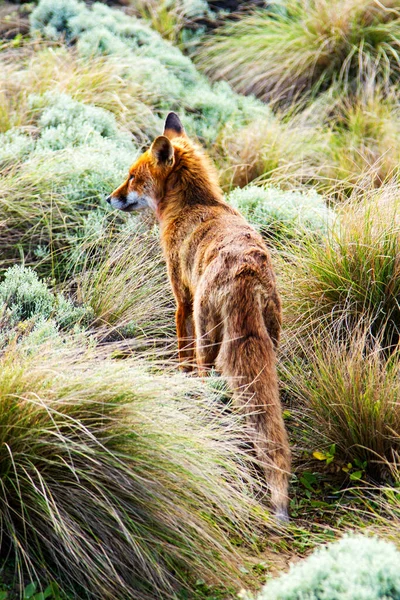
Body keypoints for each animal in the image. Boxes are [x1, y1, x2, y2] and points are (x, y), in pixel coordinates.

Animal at [107, 112, 290, 520]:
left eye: (132, 177)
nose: (108, 197)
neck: (191, 207)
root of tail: (246, 271)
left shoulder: (181, 298)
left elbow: (182, 356)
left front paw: (178, 382)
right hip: (270, 338)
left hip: (209, 333)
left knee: (207, 373)